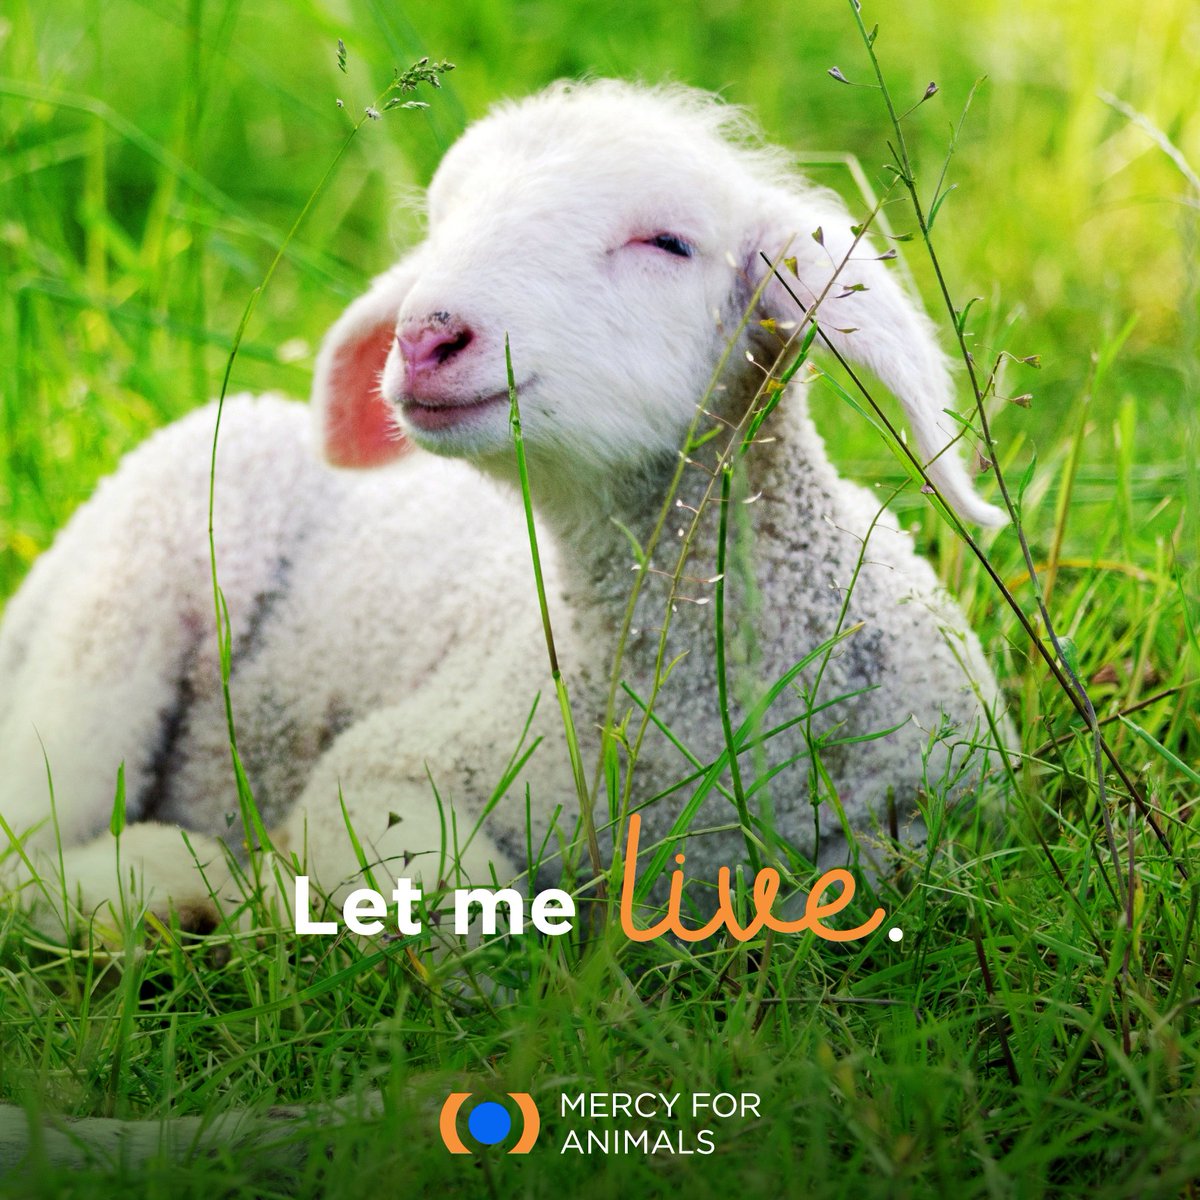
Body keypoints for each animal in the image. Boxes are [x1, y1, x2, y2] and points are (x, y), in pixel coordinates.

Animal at [0, 78, 1010, 940]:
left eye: (668, 243)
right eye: (444, 222)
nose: (425, 336)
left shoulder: (950, 811)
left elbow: (863, 885)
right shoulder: (390, 766)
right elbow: (464, 907)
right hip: (109, 630)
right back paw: (171, 883)